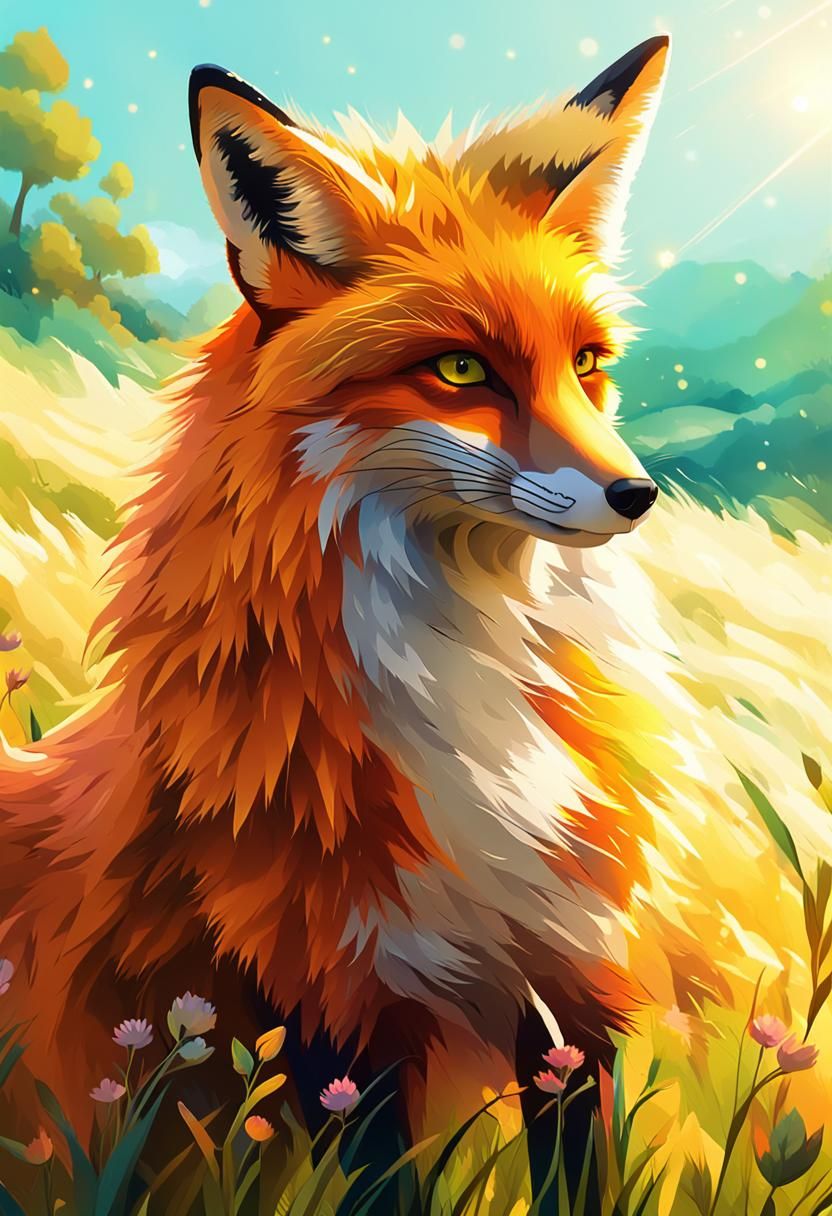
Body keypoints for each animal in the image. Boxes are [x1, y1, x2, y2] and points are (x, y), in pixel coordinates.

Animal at [1, 31, 827, 1213]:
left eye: (587, 364)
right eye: (461, 368)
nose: (636, 495)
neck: (473, 698)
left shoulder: (570, 989)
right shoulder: (340, 1003)